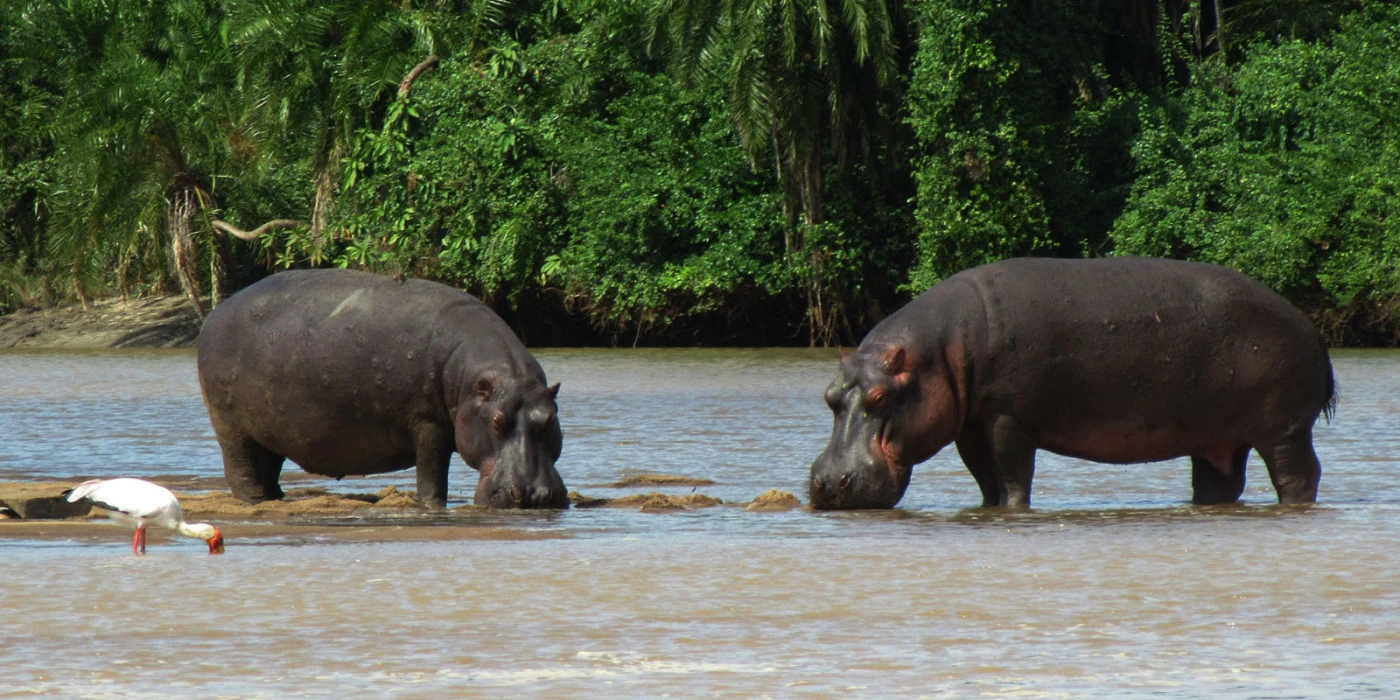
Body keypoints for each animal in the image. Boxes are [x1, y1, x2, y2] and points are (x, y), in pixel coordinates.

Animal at [197, 268, 568, 509]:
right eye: (496, 422)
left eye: (550, 420)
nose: (532, 496)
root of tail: (214, 313)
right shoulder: (428, 424)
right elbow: (432, 474)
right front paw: (432, 506)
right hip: (230, 426)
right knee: (241, 469)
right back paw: (255, 503)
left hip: (269, 428)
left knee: (268, 466)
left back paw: (276, 500)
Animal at [817, 257, 1338, 509]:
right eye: (828, 397)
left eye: (880, 397)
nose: (824, 482)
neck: (941, 351)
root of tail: (1312, 328)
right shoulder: (970, 425)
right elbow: (985, 481)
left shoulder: (1007, 417)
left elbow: (1012, 476)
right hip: (1218, 440)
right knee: (1219, 483)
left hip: (1285, 430)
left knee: (1299, 475)